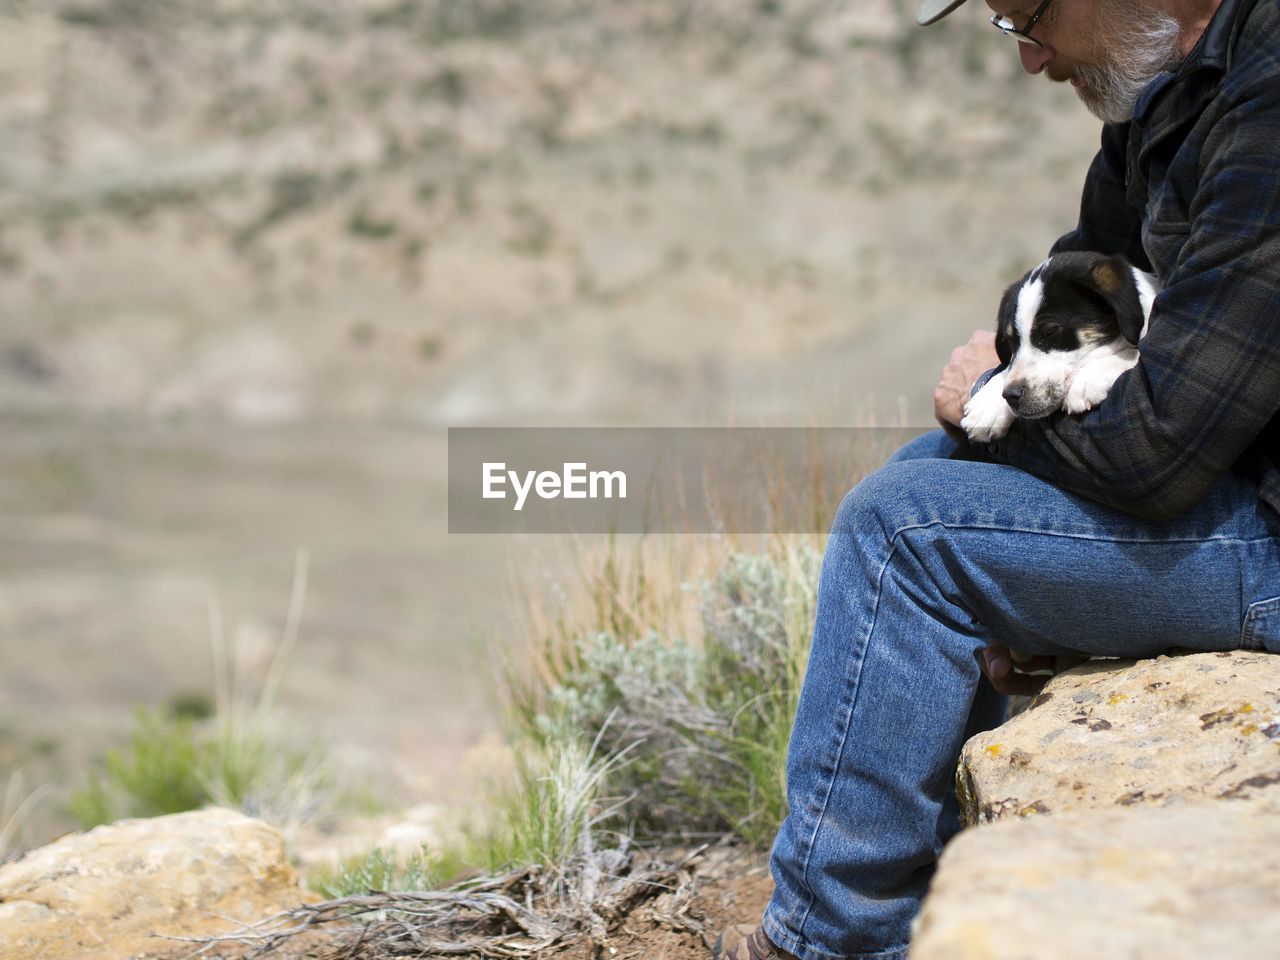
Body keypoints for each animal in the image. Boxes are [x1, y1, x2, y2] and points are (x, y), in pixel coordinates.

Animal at [962, 249, 1162, 442]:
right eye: (1011, 340)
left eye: (1049, 331)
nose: (1011, 396)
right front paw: (988, 405)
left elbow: (1137, 353)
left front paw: (1090, 377)